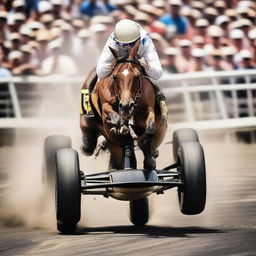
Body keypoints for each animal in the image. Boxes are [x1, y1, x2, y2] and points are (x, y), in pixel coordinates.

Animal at [80, 40, 168, 170]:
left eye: (137, 76)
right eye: (115, 76)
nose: (126, 106)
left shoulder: (148, 109)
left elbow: (150, 128)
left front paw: (149, 159)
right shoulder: (107, 107)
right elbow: (111, 113)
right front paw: (120, 125)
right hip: (90, 128)